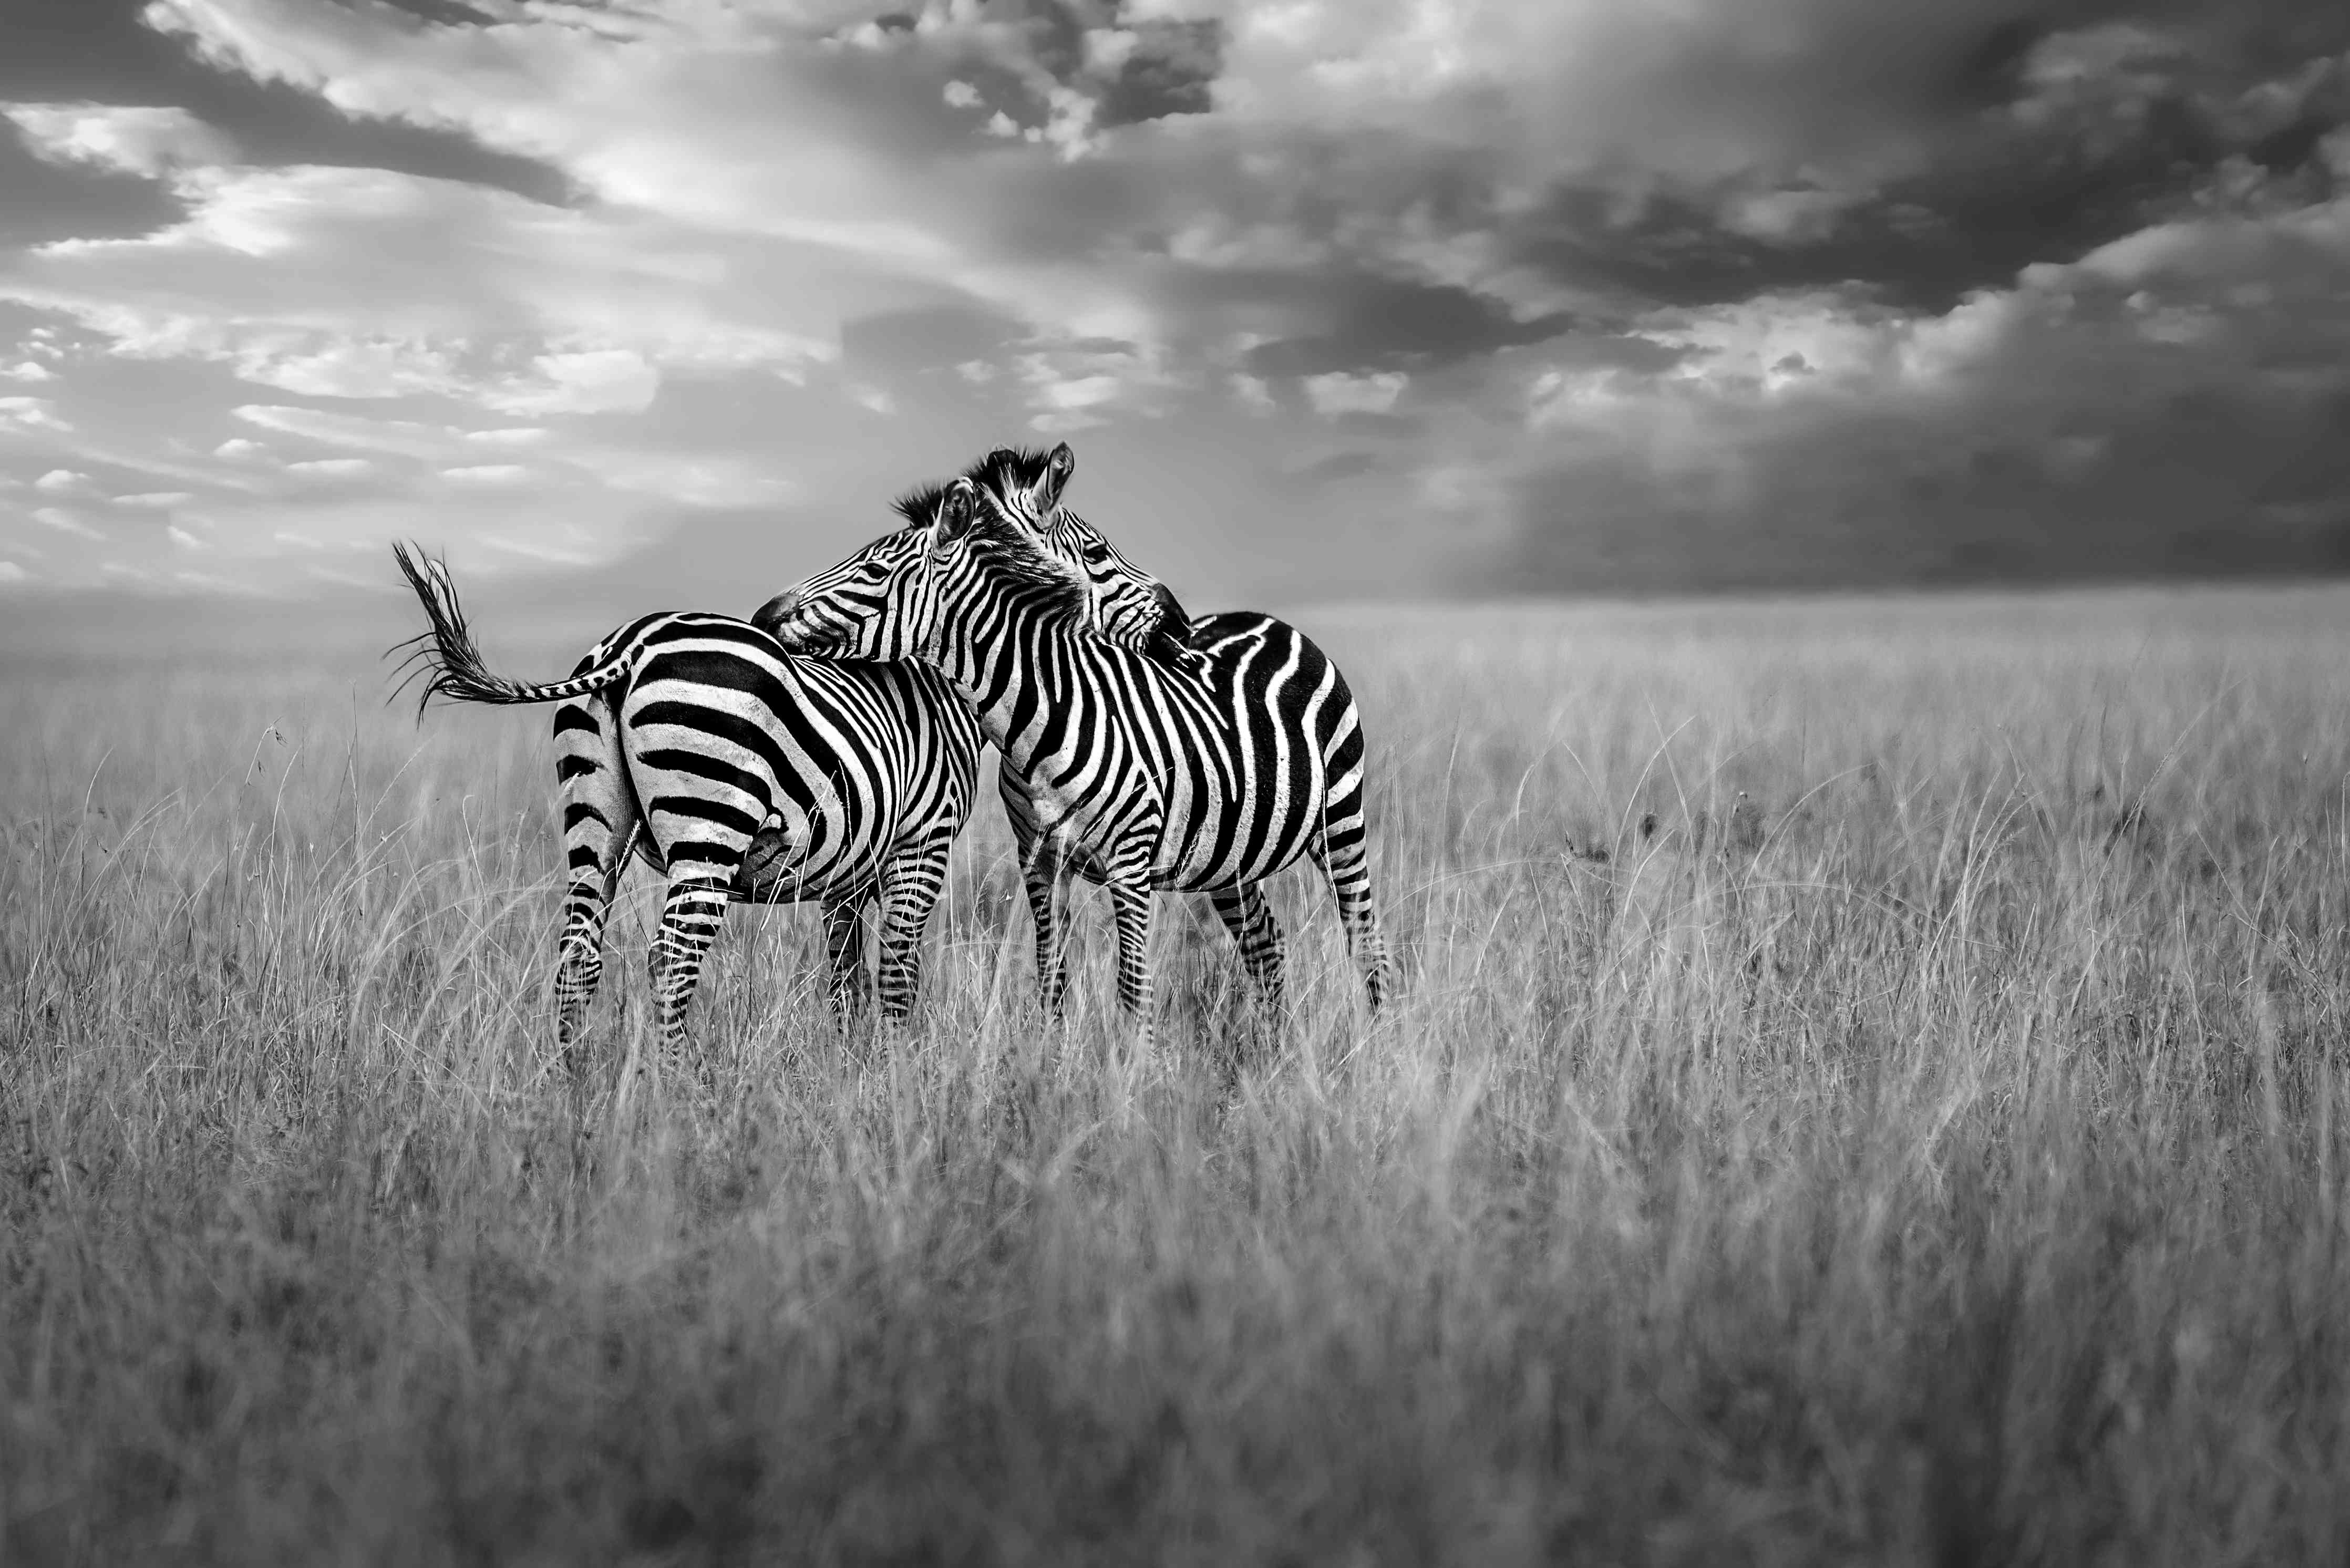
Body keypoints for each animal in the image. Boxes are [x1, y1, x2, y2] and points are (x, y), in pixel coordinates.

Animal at [387, 496, 1175, 1057]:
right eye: (1097, 552)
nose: (1175, 622)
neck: (944, 681)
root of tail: (630, 647)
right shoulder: (921, 846)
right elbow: (896, 974)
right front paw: (901, 1086)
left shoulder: (850, 872)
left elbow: (845, 980)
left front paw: (852, 1073)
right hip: (709, 825)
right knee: (670, 962)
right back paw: (682, 1101)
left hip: (594, 821)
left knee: (577, 959)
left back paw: (573, 1091)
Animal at [756, 444, 1393, 1054]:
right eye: (1097, 552)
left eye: (871, 568)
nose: (763, 615)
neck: (1040, 718)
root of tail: (1262, 619)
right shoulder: (1038, 861)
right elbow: (1051, 976)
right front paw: (1055, 1066)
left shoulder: (1131, 866)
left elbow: (1133, 987)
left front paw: (1136, 1075)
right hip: (1231, 858)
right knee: (1266, 942)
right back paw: (1277, 1055)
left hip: (1341, 821)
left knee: (1367, 942)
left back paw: (1376, 1052)